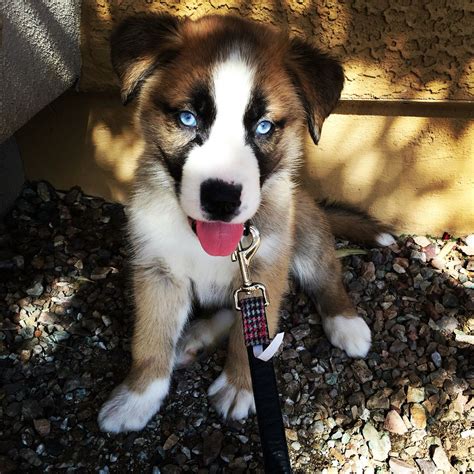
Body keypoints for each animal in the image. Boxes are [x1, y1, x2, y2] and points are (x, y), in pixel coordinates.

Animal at [98, 13, 394, 434]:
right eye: (188, 118)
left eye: (264, 127)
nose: (221, 200)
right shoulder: (158, 271)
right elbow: (150, 338)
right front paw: (137, 397)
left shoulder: (266, 269)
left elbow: (252, 338)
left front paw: (240, 385)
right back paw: (196, 336)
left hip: (306, 232)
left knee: (327, 278)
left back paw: (346, 323)